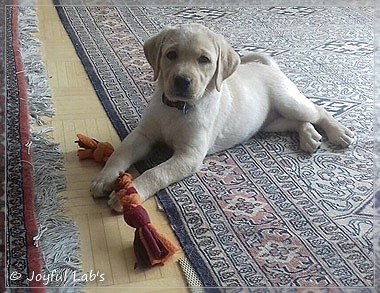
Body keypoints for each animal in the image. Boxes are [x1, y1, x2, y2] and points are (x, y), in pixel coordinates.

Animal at [90, 23, 354, 210]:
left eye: (204, 60)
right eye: (171, 55)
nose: (182, 81)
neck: (178, 108)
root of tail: (269, 67)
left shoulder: (190, 155)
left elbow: (156, 172)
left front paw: (129, 194)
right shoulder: (143, 135)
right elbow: (120, 153)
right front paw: (104, 178)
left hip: (288, 101)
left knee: (317, 111)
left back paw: (339, 132)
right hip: (271, 122)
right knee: (296, 122)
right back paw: (309, 136)